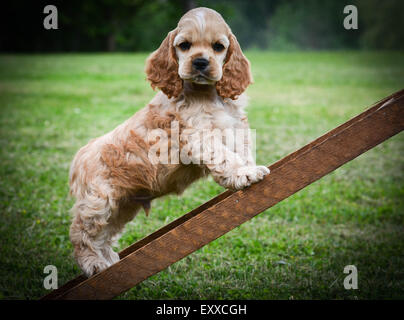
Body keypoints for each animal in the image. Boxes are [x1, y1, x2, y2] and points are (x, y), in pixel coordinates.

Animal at [69, 7, 270, 278]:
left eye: (218, 47)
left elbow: (243, 152)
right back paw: (93, 263)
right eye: (184, 46)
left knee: (104, 234)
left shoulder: (237, 127)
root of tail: (79, 157)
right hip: (99, 202)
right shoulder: (198, 136)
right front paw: (243, 174)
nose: (200, 62)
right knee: (82, 232)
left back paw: (108, 260)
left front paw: (249, 169)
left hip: (122, 206)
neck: (208, 95)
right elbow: (225, 156)